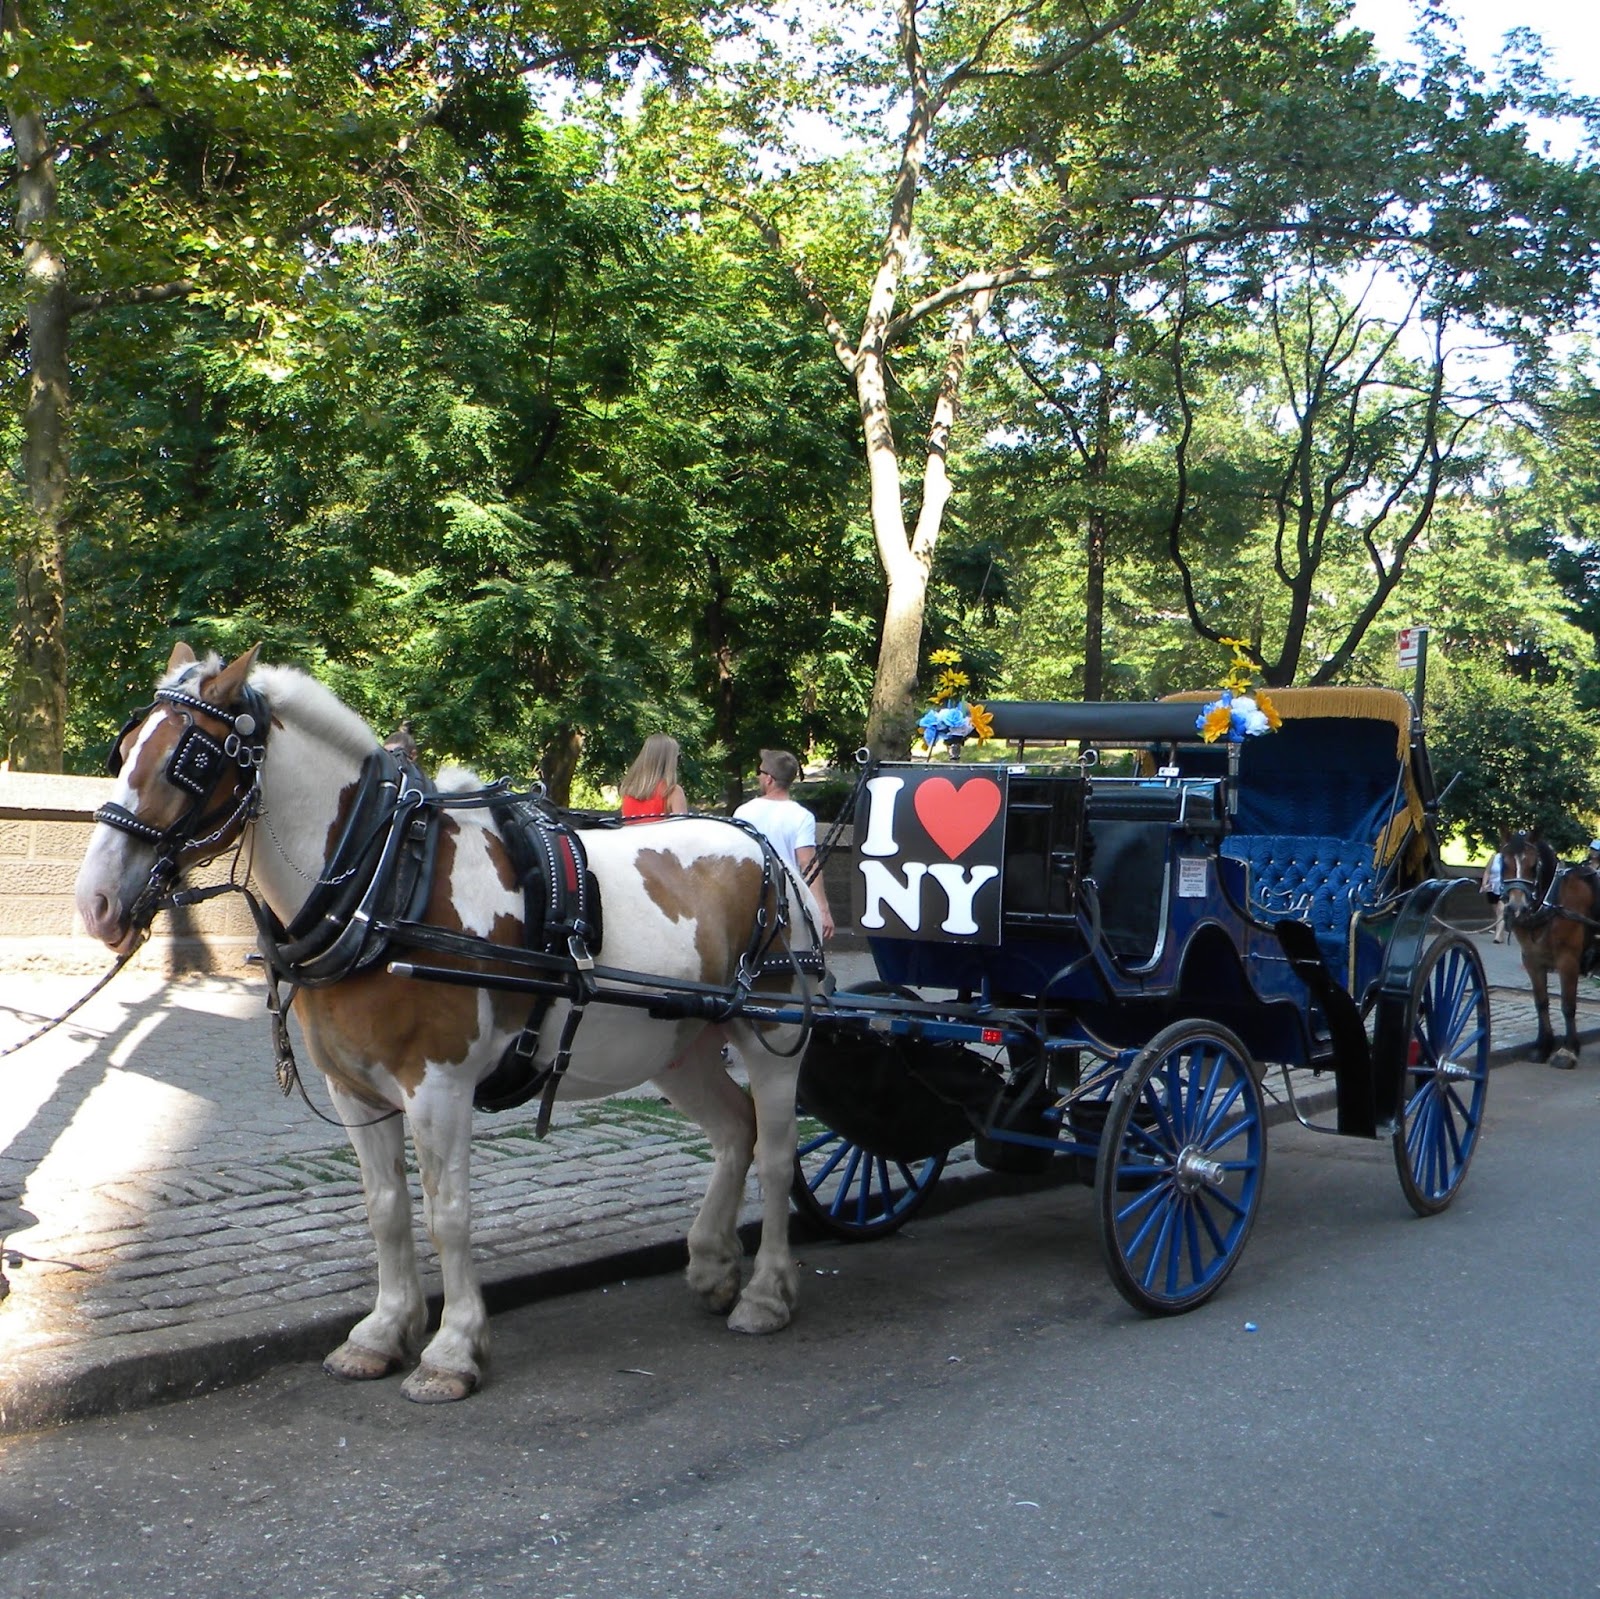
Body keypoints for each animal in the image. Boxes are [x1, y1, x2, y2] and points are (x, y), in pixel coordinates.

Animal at [76, 646, 819, 1402]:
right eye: (123, 753)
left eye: (189, 761)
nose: (96, 900)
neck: (385, 884)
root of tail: (761, 845)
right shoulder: (355, 1090)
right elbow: (386, 1209)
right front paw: (382, 1332)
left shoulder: (439, 1085)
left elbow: (447, 1212)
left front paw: (452, 1348)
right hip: (680, 1048)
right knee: (734, 1131)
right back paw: (713, 1263)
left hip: (774, 1039)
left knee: (776, 1151)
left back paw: (766, 1293)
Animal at [1497, 832, 1600, 1069]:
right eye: (1503, 863)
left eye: (1533, 865)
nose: (1516, 909)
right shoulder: (1532, 960)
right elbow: (1541, 1003)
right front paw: (1543, 1045)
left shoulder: (1568, 960)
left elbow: (1568, 1005)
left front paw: (1568, 1050)